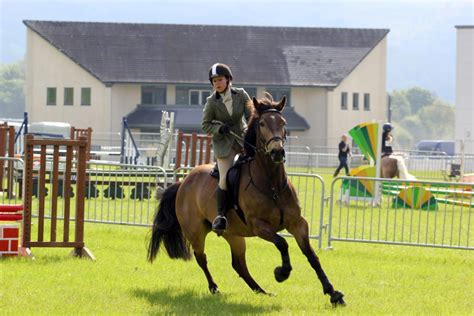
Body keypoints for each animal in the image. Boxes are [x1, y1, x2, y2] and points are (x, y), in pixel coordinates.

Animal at [148, 94, 344, 306]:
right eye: (263, 123)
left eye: (283, 122)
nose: (277, 152)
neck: (272, 184)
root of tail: (183, 182)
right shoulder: (259, 226)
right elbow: (282, 243)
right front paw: (281, 272)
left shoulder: (298, 223)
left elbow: (311, 256)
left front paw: (333, 293)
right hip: (196, 232)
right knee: (202, 258)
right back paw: (215, 288)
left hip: (233, 234)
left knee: (238, 264)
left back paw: (262, 291)